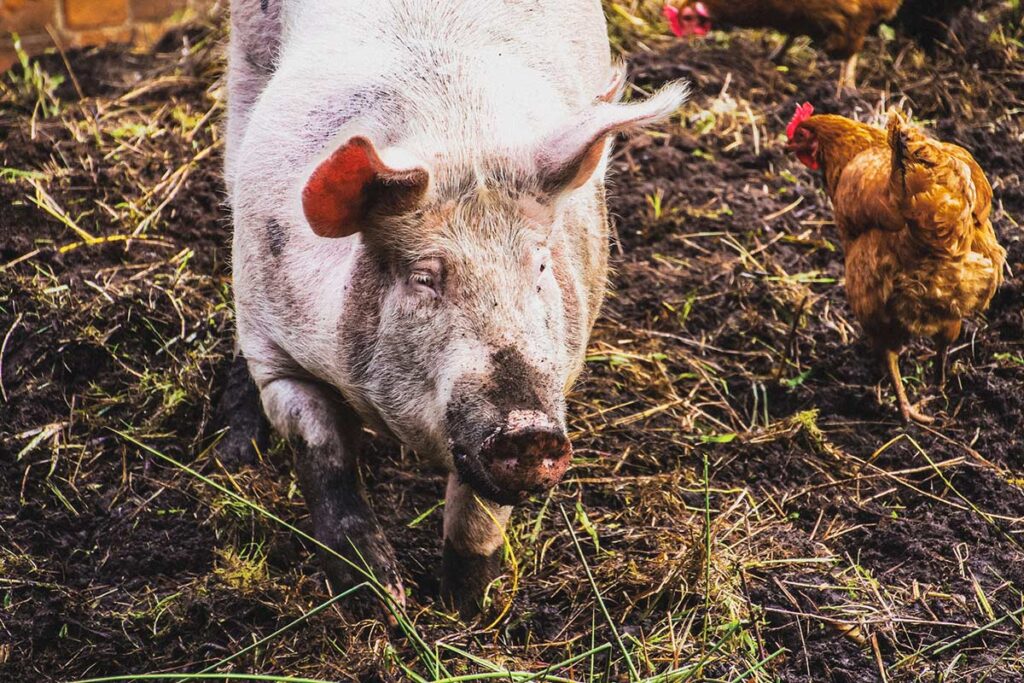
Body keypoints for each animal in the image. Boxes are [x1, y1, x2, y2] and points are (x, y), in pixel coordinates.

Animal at [224, 0, 688, 614]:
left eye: (540, 268)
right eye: (424, 278)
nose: (528, 429)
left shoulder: (554, 379)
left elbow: (479, 511)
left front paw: (465, 609)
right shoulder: (273, 346)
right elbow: (324, 455)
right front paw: (383, 600)